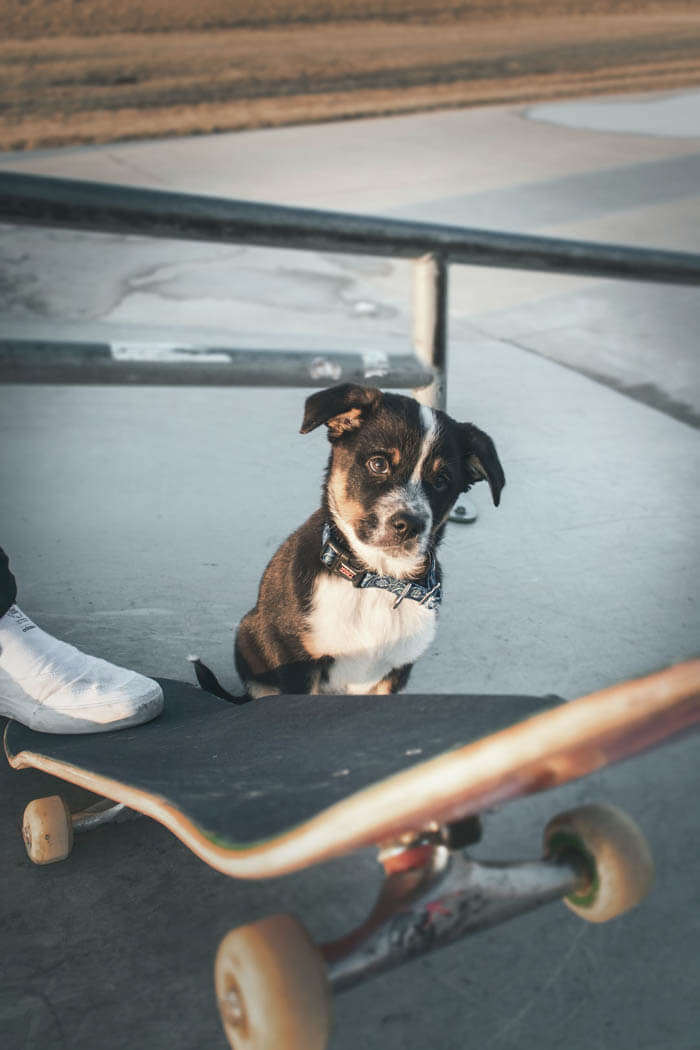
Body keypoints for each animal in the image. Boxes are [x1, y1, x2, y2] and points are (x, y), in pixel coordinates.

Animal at [192, 382, 503, 701]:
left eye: (441, 481)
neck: (376, 581)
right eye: (378, 464)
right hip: (249, 631)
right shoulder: (298, 664)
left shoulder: (395, 671)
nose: (410, 525)